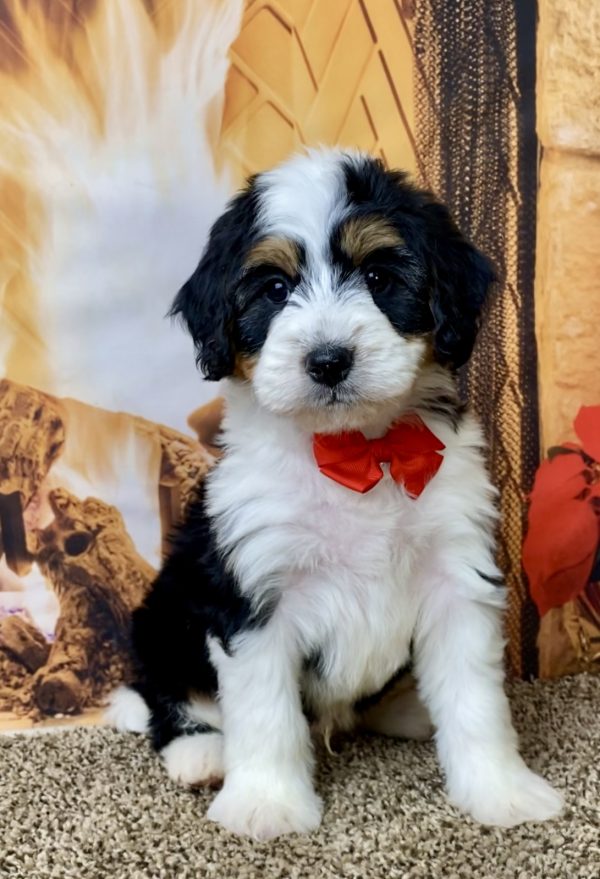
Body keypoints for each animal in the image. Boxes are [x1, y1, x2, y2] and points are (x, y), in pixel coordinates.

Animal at [108, 150, 564, 840]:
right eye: (274, 289)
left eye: (378, 276)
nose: (328, 361)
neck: (357, 452)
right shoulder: (252, 589)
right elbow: (266, 713)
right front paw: (266, 805)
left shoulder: (456, 569)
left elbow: (476, 700)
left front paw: (502, 792)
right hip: (162, 615)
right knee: (169, 696)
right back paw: (201, 752)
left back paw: (409, 711)